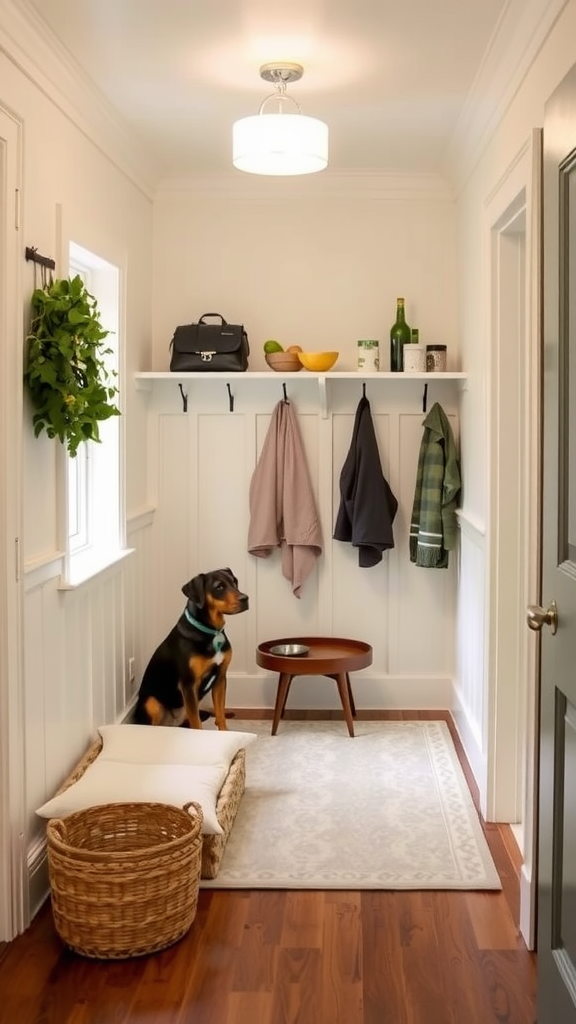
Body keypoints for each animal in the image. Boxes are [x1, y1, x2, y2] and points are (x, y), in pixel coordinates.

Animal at [135, 569, 250, 729]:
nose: (245, 599)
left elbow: (220, 713)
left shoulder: (220, 678)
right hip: (151, 702)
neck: (212, 631)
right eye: (219, 587)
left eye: (235, 582)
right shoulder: (188, 684)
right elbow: (197, 723)